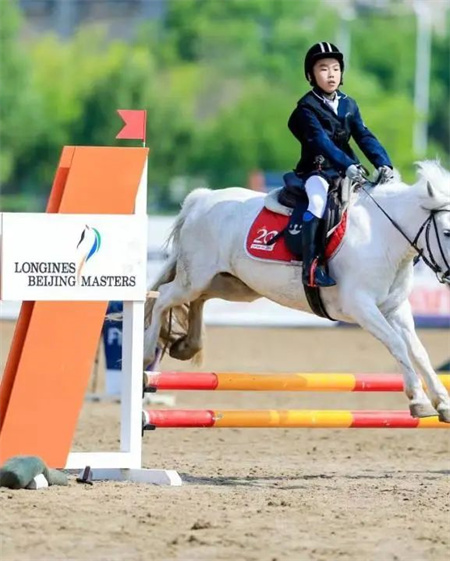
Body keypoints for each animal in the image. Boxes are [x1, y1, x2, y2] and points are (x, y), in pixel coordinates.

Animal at [143, 160, 450, 422]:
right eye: (447, 232)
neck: (383, 236)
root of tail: (200, 199)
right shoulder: (360, 307)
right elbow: (397, 344)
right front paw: (419, 400)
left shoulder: (395, 308)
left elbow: (418, 351)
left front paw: (443, 402)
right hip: (195, 277)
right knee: (164, 297)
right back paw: (147, 353)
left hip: (231, 284)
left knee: (199, 300)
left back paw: (187, 345)